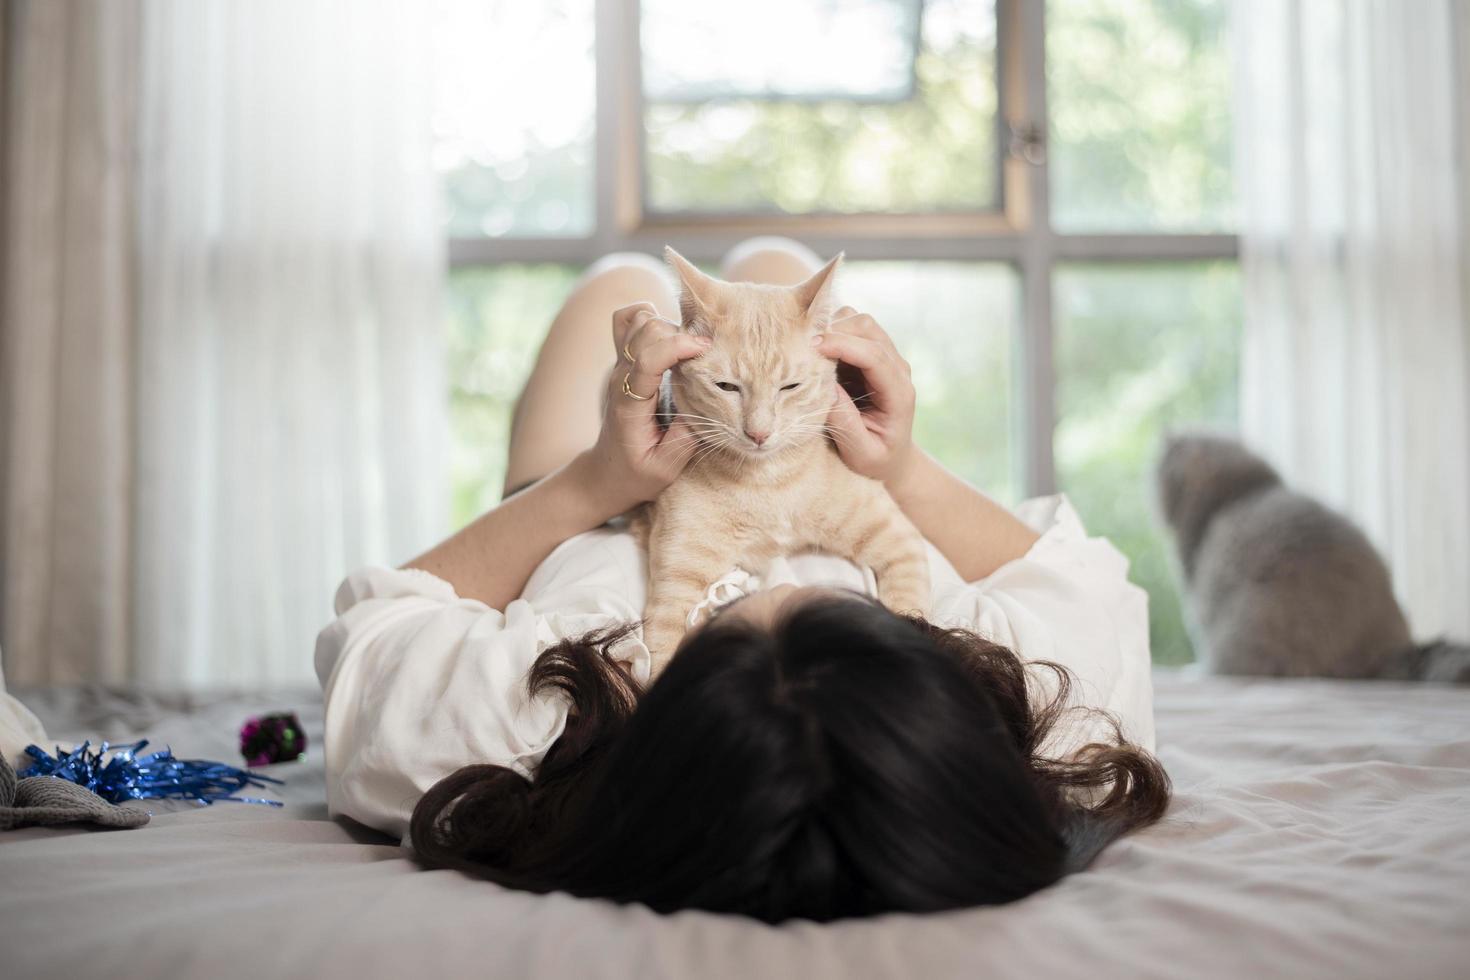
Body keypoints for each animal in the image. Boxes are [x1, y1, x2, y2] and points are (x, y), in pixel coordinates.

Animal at [632, 249, 929, 669]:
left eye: (790, 387)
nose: (758, 433)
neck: (769, 484)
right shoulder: (677, 574)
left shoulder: (899, 540)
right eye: (727, 387)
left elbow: (911, 607)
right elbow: (659, 651)